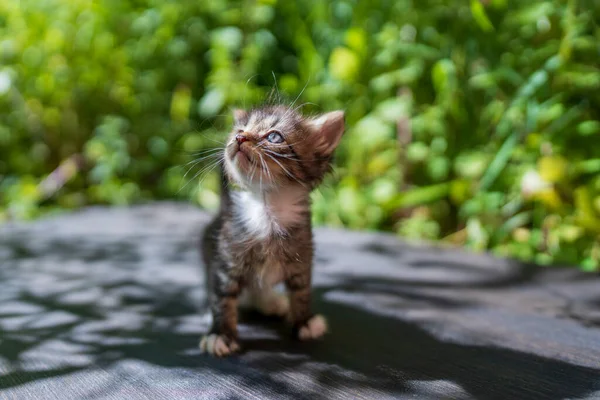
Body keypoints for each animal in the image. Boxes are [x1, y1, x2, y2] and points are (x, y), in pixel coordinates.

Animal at [199, 104, 344, 356]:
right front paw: (220, 334)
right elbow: (222, 297)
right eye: (240, 130)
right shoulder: (225, 260)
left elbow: (302, 291)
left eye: (274, 136)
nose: (238, 138)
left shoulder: (302, 257)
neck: (268, 212)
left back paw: (270, 302)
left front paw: (304, 321)